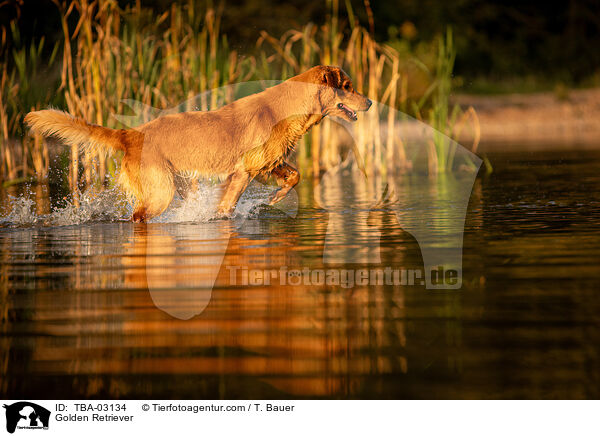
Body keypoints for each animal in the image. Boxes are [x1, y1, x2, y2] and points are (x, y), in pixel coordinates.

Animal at [25, 64, 372, 221]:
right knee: (138, 215)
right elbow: (226, 206)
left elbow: (295, 176)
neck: (286, 109)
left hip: (180, 183)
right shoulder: (242, 171)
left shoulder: (267, 163)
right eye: (347, 86)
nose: (369, 101)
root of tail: (131, 134)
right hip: (160, 191)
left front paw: (275, 198)